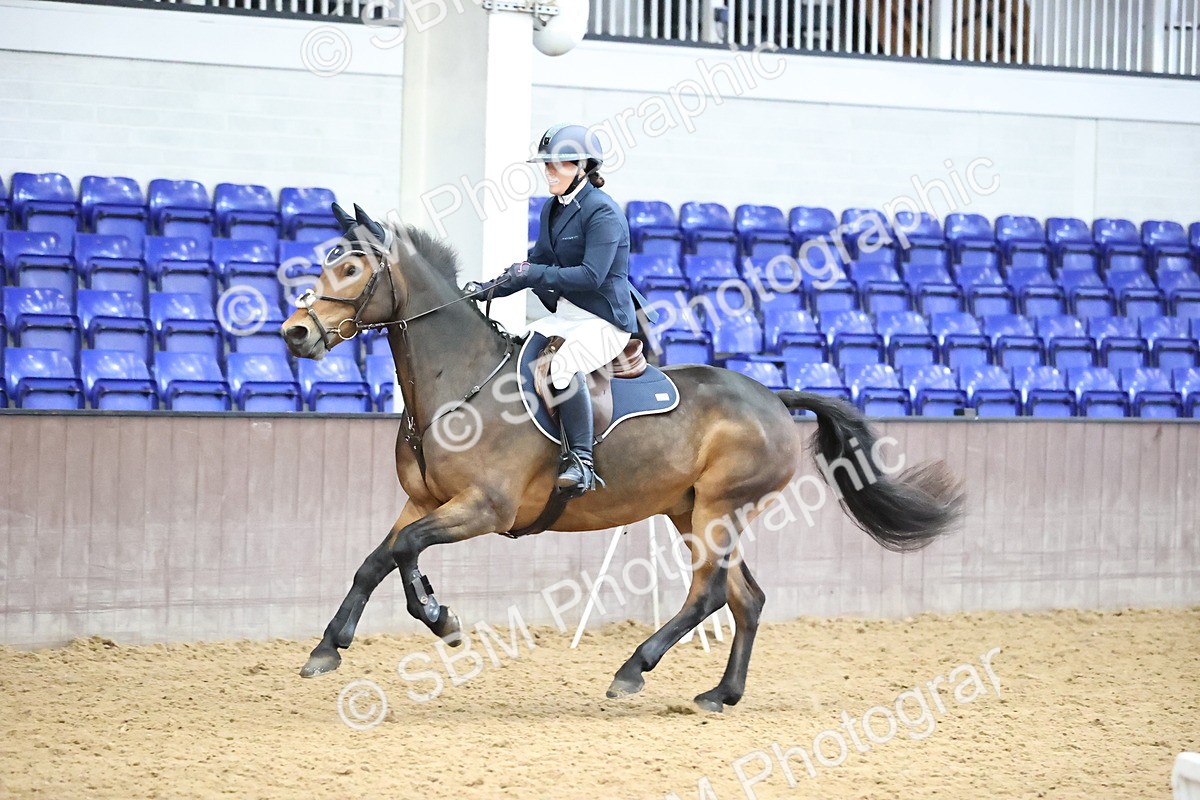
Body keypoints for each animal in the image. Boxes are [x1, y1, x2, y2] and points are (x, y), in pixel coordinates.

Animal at [281, 205, 964, 713]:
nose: (296, 333)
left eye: (351, 267)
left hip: (719, 509)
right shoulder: (424, 500)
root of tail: (773, 396)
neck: (461, 381)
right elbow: (377, 560)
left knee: (709, 596)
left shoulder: (484, 508)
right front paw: (332, 646)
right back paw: (721, 693)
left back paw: (633, 669)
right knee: (746, 599)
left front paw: (436, 615)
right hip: (692, 513)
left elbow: (404, 550)